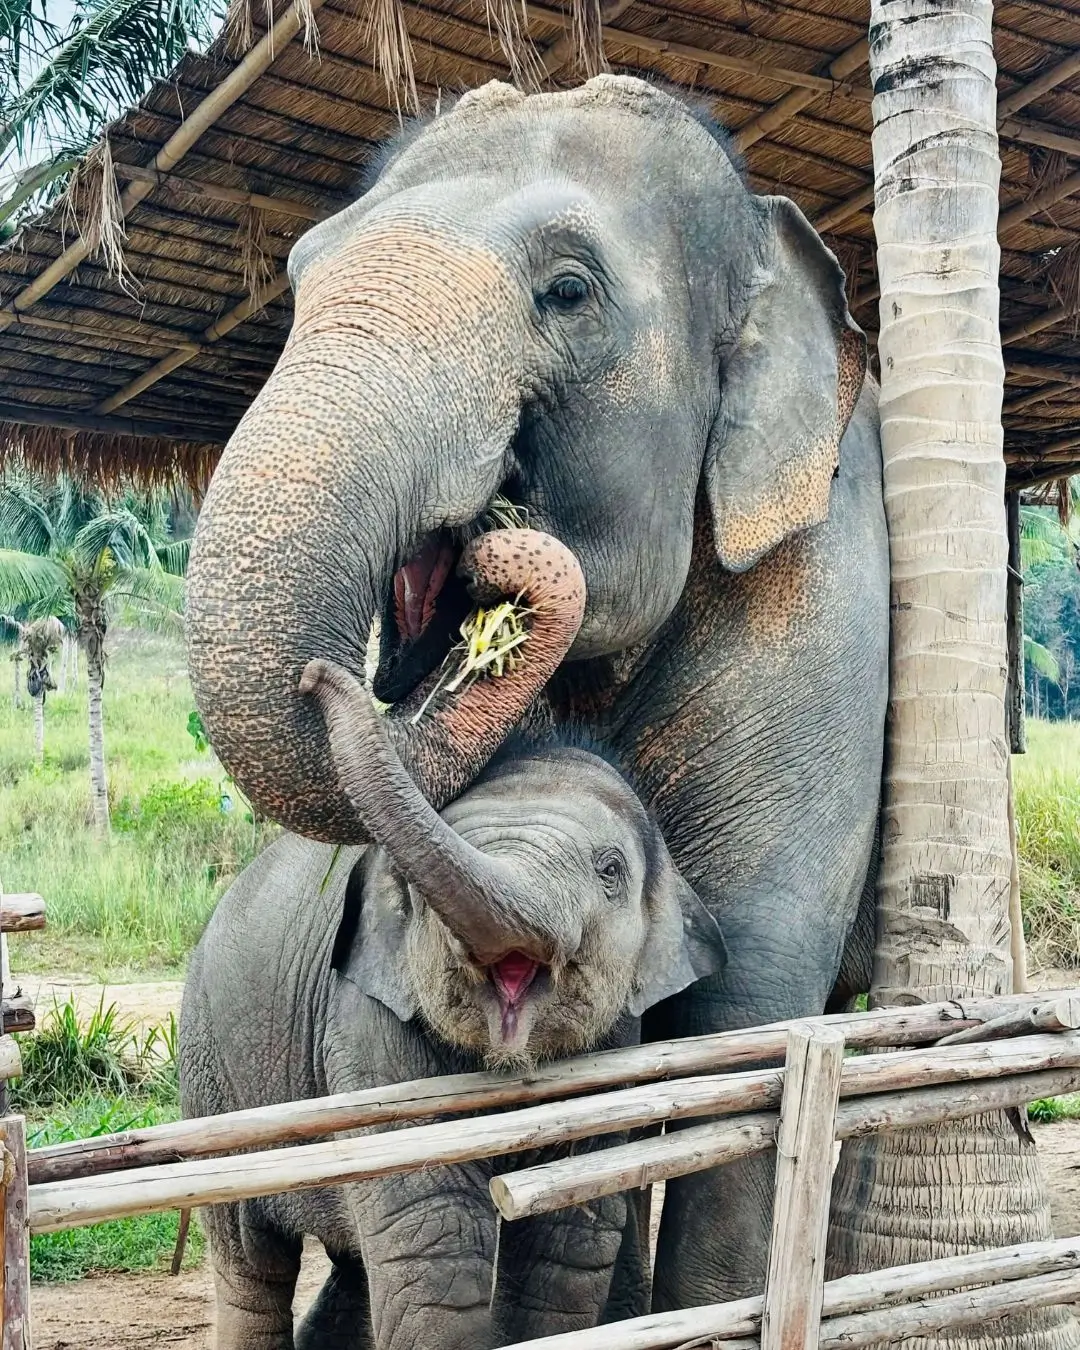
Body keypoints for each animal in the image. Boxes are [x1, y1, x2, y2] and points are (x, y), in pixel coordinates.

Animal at [181, 530, 726, 1349]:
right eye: (410, 889)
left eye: (610, 872)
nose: (315, 675)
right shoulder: (361, 1029)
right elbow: (435, 1238)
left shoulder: (620, 1049)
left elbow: (567, 1239)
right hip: (212, 1071)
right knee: (253, 1259)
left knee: (349, 1264)